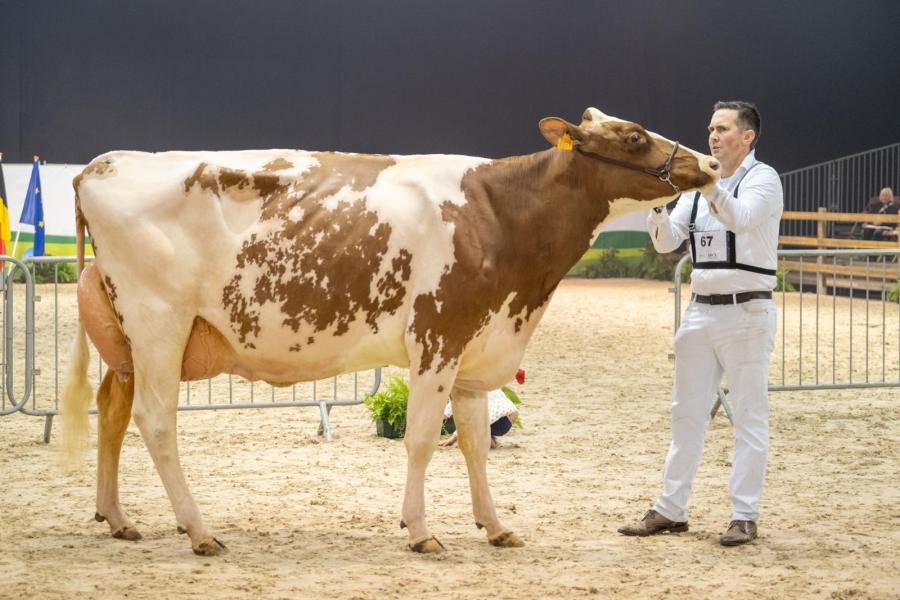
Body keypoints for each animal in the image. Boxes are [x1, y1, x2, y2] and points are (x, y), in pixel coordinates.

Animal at [61, 105, 716, 556]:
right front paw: (420, 530)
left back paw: (117, 519)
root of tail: (105, 162)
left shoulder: (476, 351)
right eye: (634, 135)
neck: (499, 214)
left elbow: (475, 445)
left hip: (127, 340)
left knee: (112, 411)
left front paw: (495, 526)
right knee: (155, 421)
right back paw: (199, 532)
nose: (710, 163)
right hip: (158, 324)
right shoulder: (438, 339)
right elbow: (423, 440)